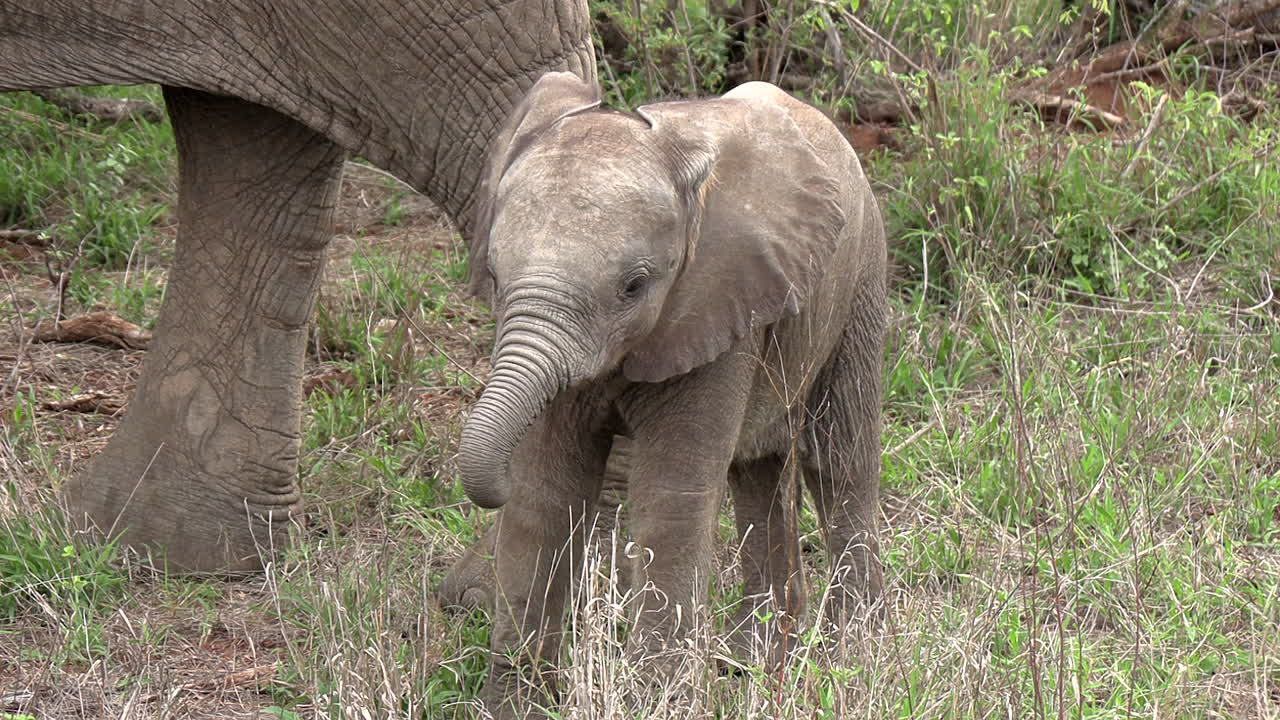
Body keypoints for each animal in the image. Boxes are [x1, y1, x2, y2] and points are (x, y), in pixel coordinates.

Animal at [456, 72, 887, 717]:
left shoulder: (718, 296)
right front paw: (514, 705)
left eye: (634, 287)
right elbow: (547, 491)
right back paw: (750, 664)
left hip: (861, 278)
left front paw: (655, 701)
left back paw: (852, 658)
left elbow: (669, 497)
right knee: (757, 471)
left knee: (839, 461)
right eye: (496, 277)